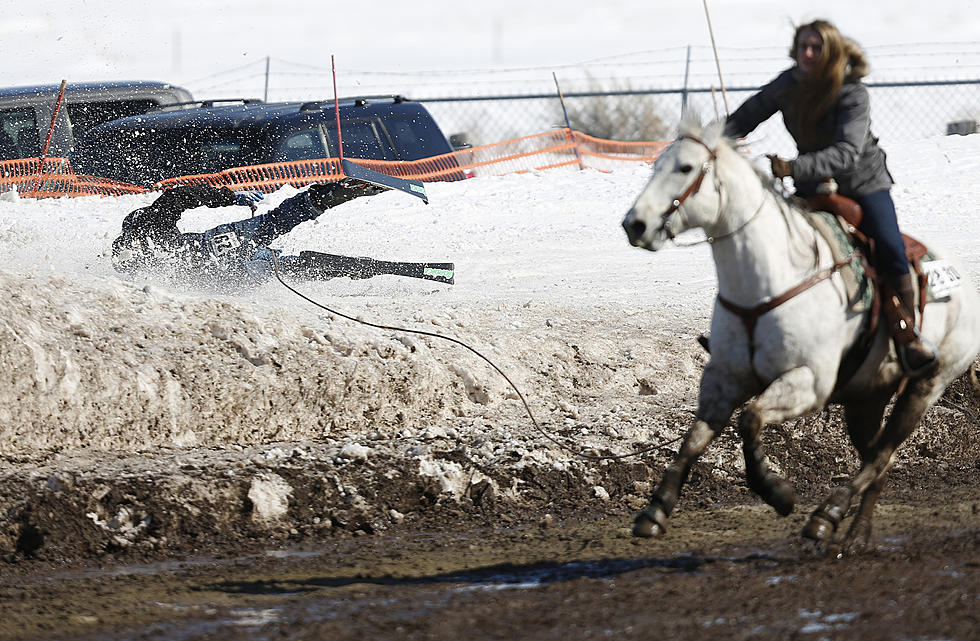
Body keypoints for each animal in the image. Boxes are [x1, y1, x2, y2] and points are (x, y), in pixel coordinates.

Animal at [620, 119, 980, 552]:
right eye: (655, 165)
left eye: (686, 167)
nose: (634, 224)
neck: (769, 281)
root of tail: (965, 283)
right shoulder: (723, 378)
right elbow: (695, 437)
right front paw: (655, 510)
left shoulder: (808, 382)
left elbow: (750, 418)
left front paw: (777, 492)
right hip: (867, 398)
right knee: (880, 458)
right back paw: (856, 535)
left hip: (927, 385)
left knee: (881, 454)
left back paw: (826, 516)